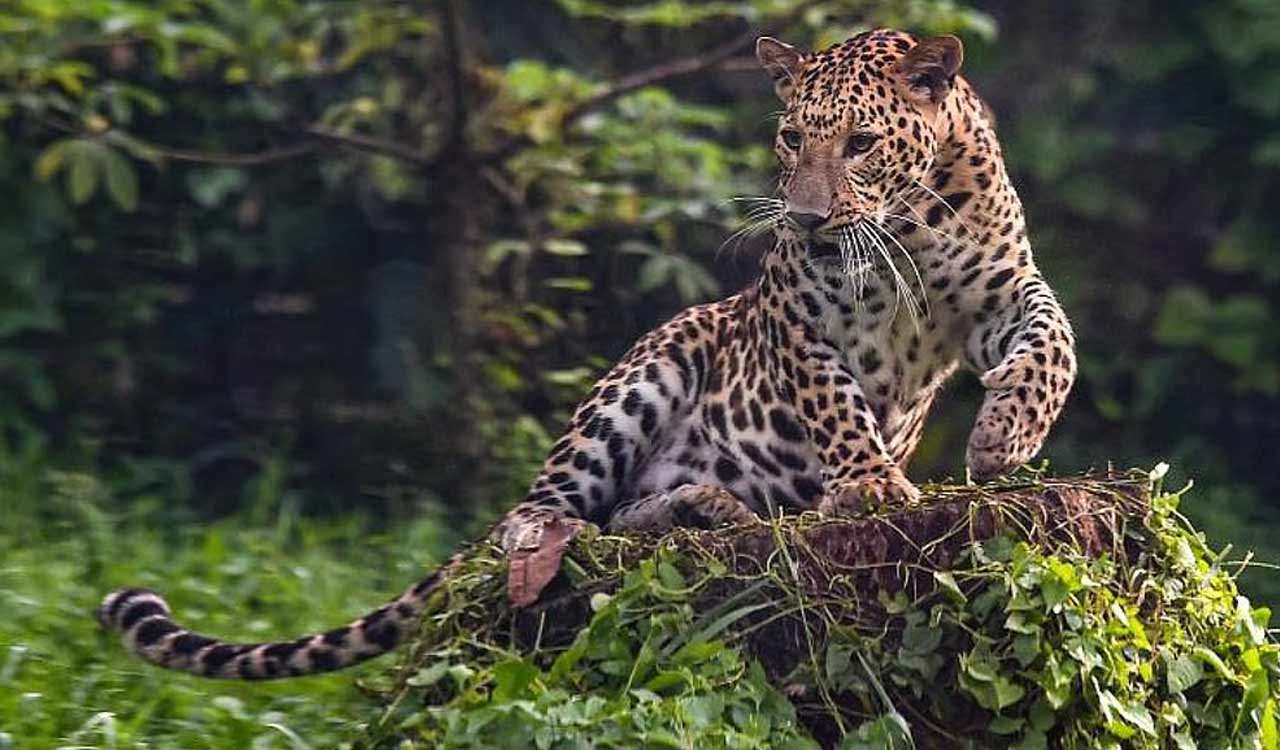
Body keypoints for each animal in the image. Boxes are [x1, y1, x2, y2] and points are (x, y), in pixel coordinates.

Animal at [98, 28, 1076, 680]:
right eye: (794, 137)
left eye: (863, 144)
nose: (803, 219)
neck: (908, 224)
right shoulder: (801, 320)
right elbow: (834, 401)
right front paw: (872, 484)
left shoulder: (1003, 289)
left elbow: (1053, 342)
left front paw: (1003, 439)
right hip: (655, 364)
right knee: (541, 514)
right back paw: (596, 532)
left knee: (622, 519)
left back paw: (708, 509)